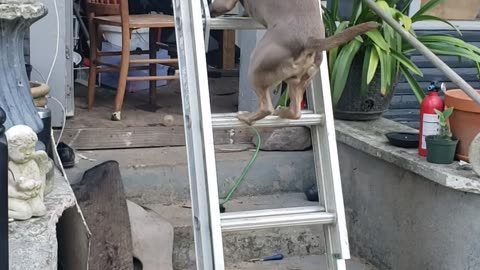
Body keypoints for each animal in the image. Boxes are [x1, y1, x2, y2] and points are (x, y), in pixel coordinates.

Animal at [209, 0, 378, 124]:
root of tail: (310, 40)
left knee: (266, 108)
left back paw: (246, 117)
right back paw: (282, 111)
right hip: (297, 81)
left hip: (255, 67)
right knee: (295, 112)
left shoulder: (224, 2)